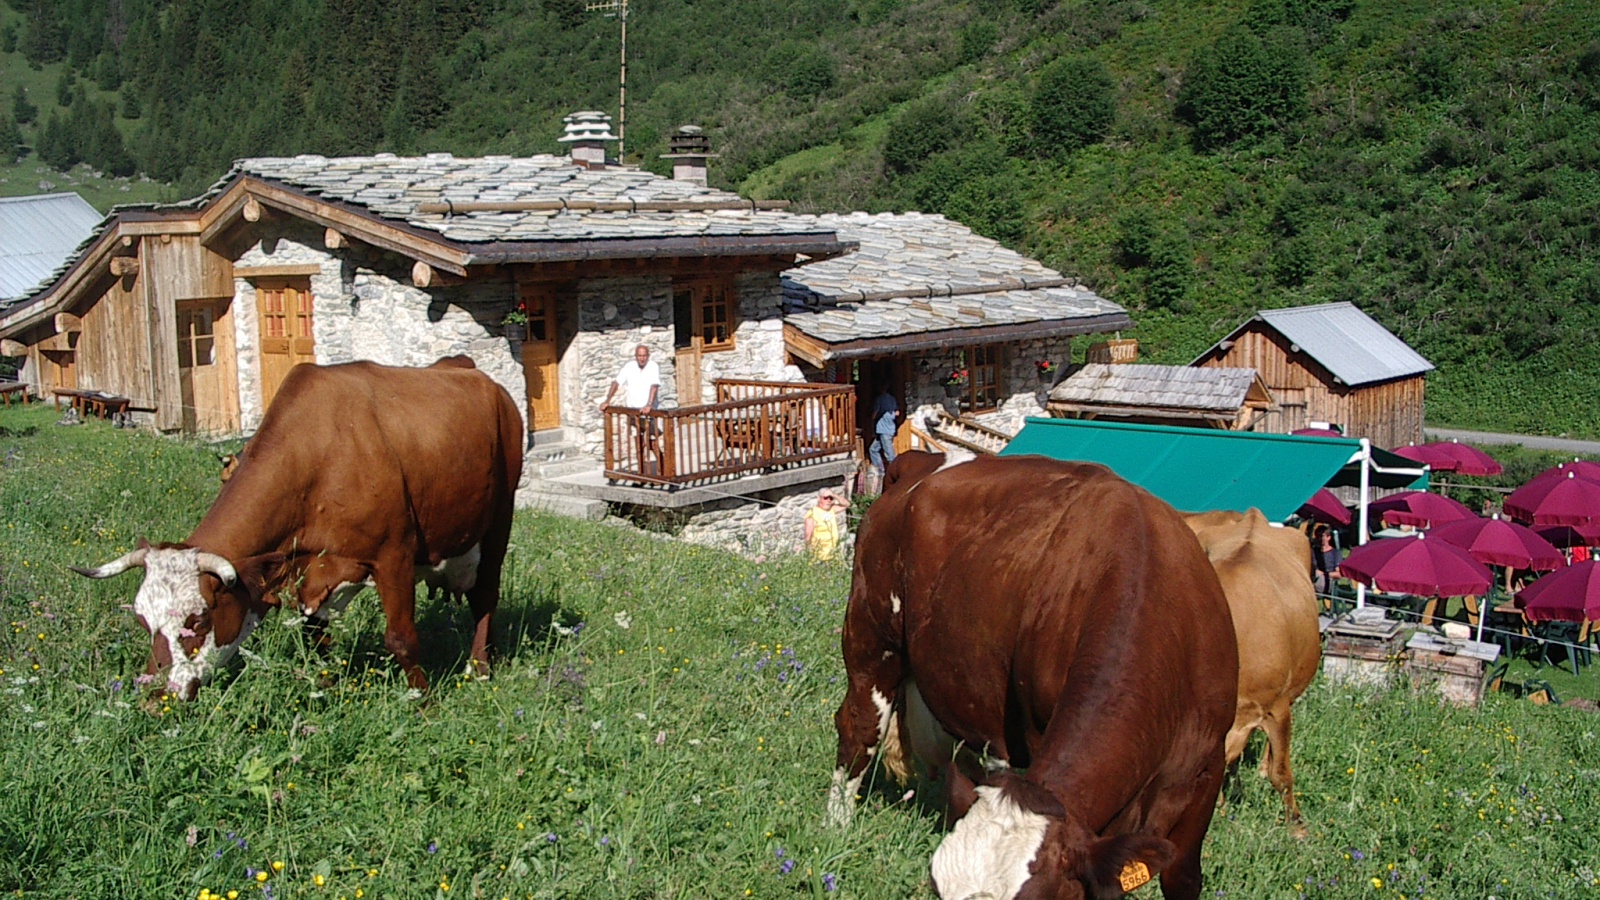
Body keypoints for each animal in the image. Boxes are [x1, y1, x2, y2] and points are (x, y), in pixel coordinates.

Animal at [72, 353, 521, 698]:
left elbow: (402, 639)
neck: (318, 455)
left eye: (196, 621)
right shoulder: (308, 570)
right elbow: (315, 635)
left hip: (499, 519)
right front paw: (325, 685)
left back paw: (479, 667)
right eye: (142, 621)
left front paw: (423, 701)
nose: (154, 697)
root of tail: (468, 369)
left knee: (485, 595)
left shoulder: (393, 553)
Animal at [838, 451, 1235, 896]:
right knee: (857, 729)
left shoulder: (1208, 767)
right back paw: (836, 829)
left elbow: (1181, 875)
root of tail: (920, 459)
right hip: (872, 641)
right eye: (937, 888)